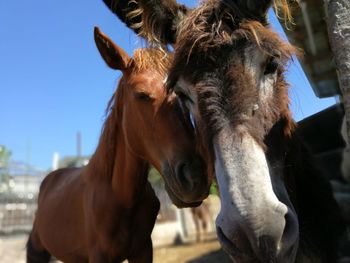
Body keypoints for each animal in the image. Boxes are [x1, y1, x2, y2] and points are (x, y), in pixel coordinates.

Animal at [27, 27, 209, 263]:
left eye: (185, 95)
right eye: (141, 94)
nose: (195, 177)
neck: (121, 196)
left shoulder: (143, 250)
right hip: (37, 250)